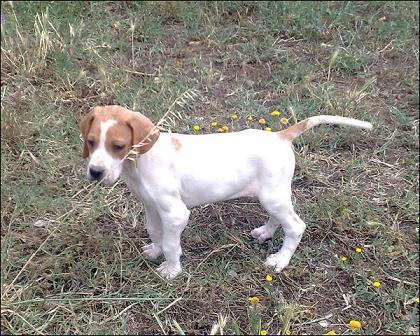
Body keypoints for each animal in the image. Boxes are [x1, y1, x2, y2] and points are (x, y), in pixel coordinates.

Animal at [80, 105, 372, 278]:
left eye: (118, 146)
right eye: (91, 142)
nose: (95, 172)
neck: (139, 162)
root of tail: (279, 136)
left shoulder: (175, 214)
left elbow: (173, 244)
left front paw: (172, 269)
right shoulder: (151, 207)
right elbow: (156, 232)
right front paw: (155, 250)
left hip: (273, 196)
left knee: (296, 226)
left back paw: (280, 260)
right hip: (271, 196)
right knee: (278, 218)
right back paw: (265, 233)